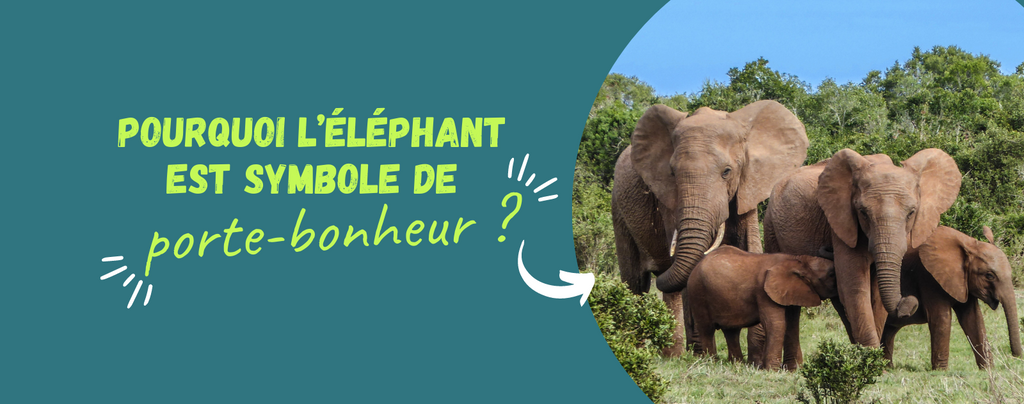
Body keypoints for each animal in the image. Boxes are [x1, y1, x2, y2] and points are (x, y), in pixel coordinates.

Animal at [612, 100, 809, 355]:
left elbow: (751, 247)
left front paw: (755, 356)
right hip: (618, 209)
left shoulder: (747, 186)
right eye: (672, 173)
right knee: (635, 283)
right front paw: (703, 354)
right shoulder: (668, 199)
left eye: (727, 172)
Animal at [686, 246, 837, 370]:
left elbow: (792, 325)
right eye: (831, 274)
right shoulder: (763, 292)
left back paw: (736, 364)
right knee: (707, 329)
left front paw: (795, 370)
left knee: (731, 331)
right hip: (697, 292)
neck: (797, 260)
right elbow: (775, 324)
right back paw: (711, 362)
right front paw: (772, 370)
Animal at [763, 148, 962, 348]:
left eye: (911, 213)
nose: (909, 302)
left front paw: (872, 354)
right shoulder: (843, 222)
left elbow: (875, 295)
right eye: (863, 213)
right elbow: (854, 287)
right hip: (770, 226)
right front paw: (871, 355)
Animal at [882, 226, 1023, 370]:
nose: (1016, 356)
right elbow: (941, 318)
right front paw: (941, 371)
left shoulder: (964, 282)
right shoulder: (928, 277)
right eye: (989, 276)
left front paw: (988, 369)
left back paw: (888, 367)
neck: (970, 244)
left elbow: (973, 318)